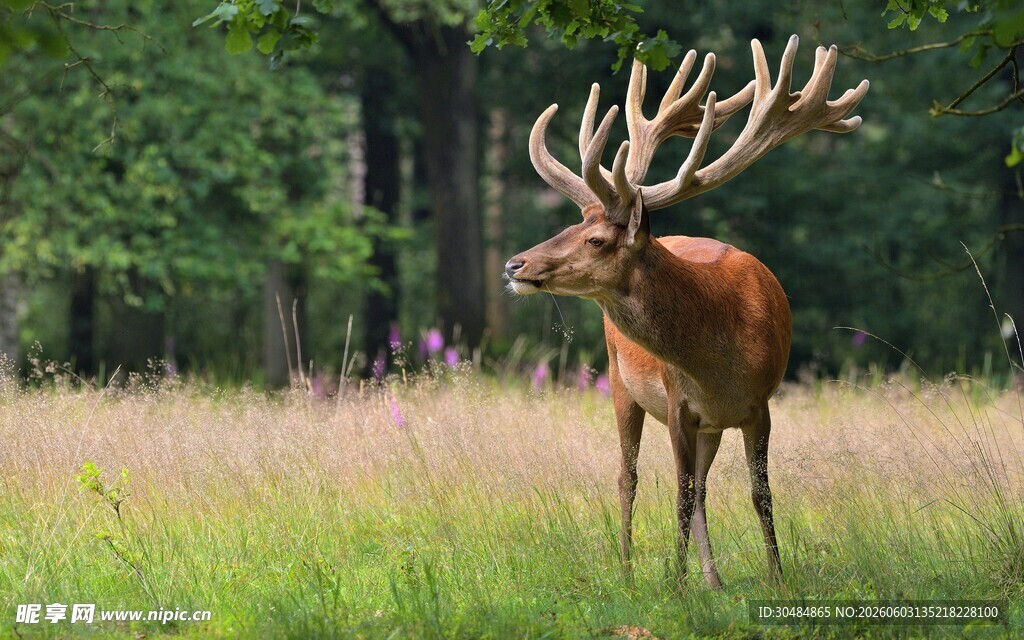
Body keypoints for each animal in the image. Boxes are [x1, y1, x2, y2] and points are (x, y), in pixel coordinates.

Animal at [504, 35, 868, 589]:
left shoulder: (758, 406)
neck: (718, 359)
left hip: (708, 426)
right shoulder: (679, 404)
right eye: (571, 224)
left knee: (697, 487)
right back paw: (629, 570)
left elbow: (758, 495)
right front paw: (674, 586)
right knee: (628, 476)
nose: (514, 264)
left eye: (595, 238)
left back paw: (711, 579)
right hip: (619, 380)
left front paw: (775, 577)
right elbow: (678, 494)